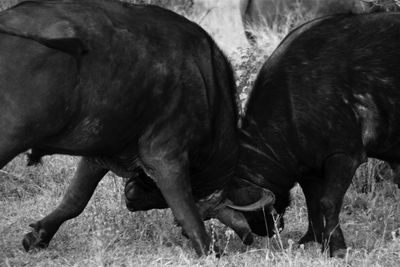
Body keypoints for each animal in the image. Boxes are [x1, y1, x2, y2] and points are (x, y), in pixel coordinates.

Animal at [0, 0, 268, 256]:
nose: (130, 195)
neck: (208, 87)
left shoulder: (100, 153)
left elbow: (74, 200)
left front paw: (39, 236)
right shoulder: (166, 157)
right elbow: (187, 213)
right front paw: (209, 250)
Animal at [234, 11, 400, 258]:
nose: (262, 230)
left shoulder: (344, 157)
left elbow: (327, 202)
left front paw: (337, 247)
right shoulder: (308, 167)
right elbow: (312, 203)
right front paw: (314, 239)